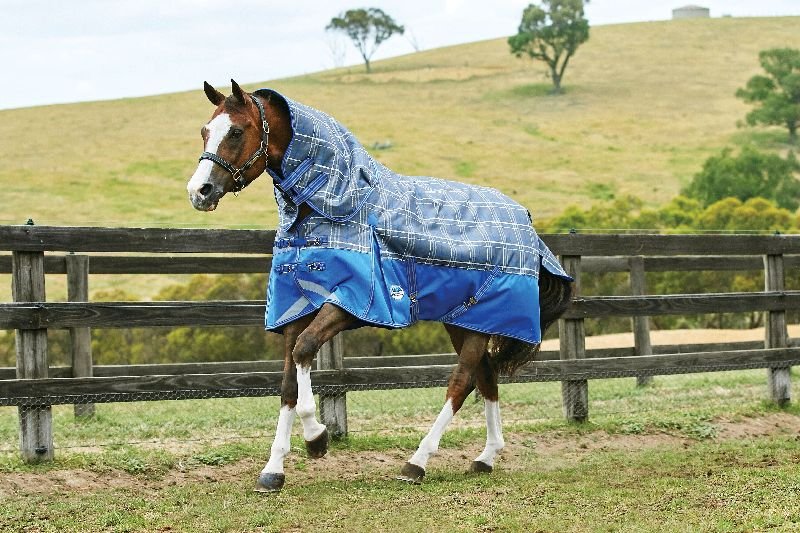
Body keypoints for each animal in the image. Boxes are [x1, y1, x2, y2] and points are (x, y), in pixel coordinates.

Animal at [187, 80, 573, 492]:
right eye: (205, 131)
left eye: (236, 131)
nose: (200, 191)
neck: (336, 206)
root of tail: (525, 221)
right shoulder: (296, 307)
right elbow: (289, 382)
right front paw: (273, 470)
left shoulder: (350, 304)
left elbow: (305, 352)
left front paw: (317, 438)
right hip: (465, 320)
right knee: (485, 377)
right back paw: (486, 457)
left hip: (480, 321)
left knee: (461, 381)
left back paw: (417, 462)